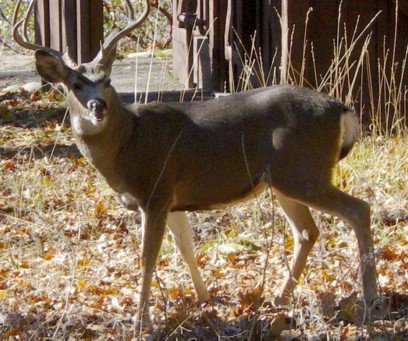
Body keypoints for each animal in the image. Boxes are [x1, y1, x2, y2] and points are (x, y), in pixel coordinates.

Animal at [12, 0, 378, 326]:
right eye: (75, 85)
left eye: (107, 80)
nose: (98, 106)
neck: (128, 143)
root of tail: (342, 110)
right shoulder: (174, 201)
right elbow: (186, 248)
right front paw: (205, 298)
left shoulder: (156, 191)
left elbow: (147, 258)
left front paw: (141, 321)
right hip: (285, 180)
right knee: (307, 231)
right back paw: (279, 297)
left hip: (304, 172)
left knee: (359, 209)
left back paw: (371, 297)